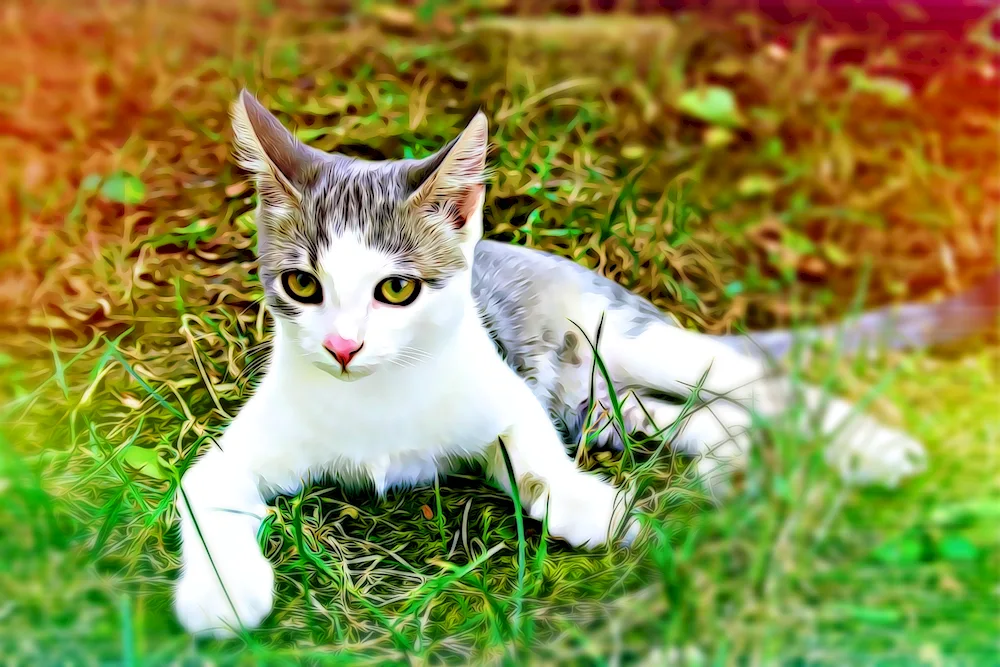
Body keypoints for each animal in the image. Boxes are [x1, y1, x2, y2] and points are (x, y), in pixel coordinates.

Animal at [174, 88, 1000, 636]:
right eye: (302, 285)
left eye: (397, 289)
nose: (343, 346)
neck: (380, 399)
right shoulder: (240, 448)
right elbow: (201, 489)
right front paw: (221, 593)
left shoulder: (503, 386)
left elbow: (531, 450)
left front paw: (584, 503)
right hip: (598, 399)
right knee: (672, 413)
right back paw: (732, 460)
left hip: (625, 336)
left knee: (762, 383)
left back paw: (871, 448)